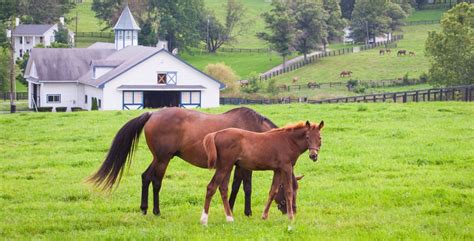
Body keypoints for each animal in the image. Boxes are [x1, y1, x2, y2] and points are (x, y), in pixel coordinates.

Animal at [87, 107, 294, 217]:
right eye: (291, 189)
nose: (291, 210)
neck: (255, 130)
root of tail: (152, 114)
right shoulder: (246, 166)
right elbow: (246, 187)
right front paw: (246, 212)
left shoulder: (236, 165)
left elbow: (236, 186)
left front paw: (232, 208)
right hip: (163, 159)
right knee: (156, 181)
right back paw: (156, 210)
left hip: (158, 158)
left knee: (145, 177)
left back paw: (144, 209)